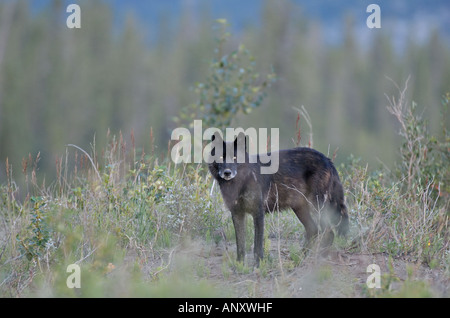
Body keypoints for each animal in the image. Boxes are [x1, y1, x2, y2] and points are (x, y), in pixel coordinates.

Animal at [207, 132, 348, 266]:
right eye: (221, 157)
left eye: (235, 158)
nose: (227, 172)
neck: (239, 182)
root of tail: (327, 159)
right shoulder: (237, 214)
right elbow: (240, 245)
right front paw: (239, 265)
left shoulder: (258, 213)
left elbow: (257, 244)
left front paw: (258, 265)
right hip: (300, 209)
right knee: (314, 230)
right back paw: (300, 258)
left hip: (317, 207)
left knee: (329, 233)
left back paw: (319, 258)